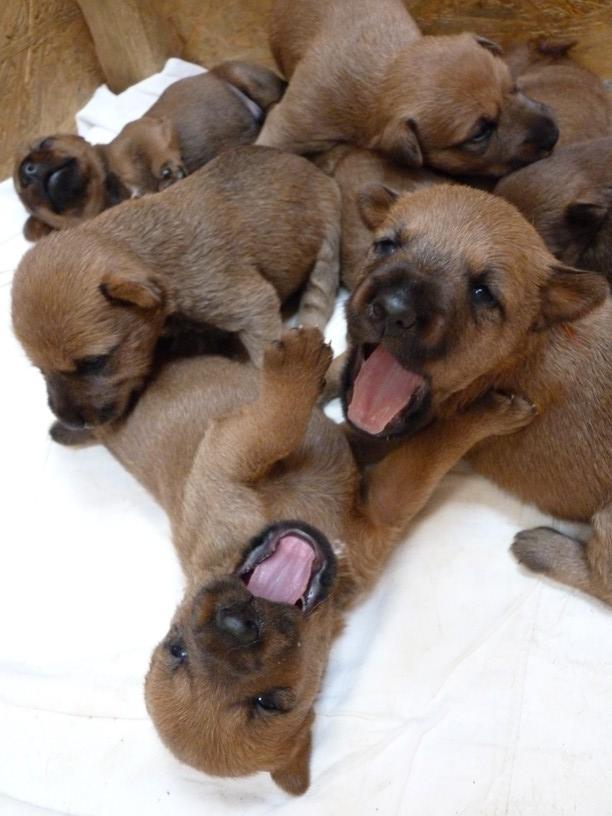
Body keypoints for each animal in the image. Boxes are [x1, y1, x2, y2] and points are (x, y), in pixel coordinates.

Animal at [11, 146, 340, 431]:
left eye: (94, 362)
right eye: (39, 369)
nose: (71, 422)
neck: (141, 250)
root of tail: (319, 173)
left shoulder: (250, 304)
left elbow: (264, 354)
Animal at [14, 61, 286, 241]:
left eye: (45, 143)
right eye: (23, 187)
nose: (29, 169)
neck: (114, 189)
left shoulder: (146, 128)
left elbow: (153, 150)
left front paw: (167, 171)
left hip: (241, 74)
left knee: (276, 96)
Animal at [54, 328, 533, 793]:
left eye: (177, 650)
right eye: (270, 702)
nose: (236, 624)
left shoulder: (375, 509)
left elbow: (427, 449)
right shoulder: (234, 453)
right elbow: (283, 426)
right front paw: (298, 367)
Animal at [340, 184, 611, 604]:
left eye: (483, 293)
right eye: (386, 245)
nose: (393, 309)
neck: (520, 352)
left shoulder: (415, 440)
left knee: (603, 578)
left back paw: (541, 548)